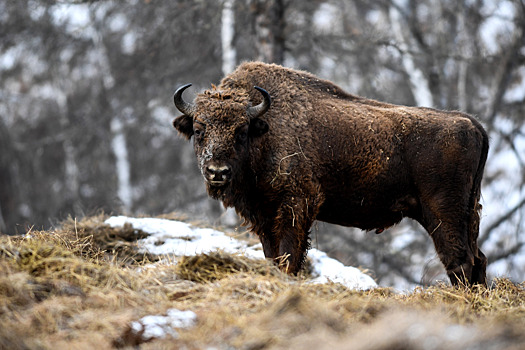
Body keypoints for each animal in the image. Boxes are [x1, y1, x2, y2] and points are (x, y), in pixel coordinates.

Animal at [172, 62, 488, 288]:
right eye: (198, 130)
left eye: (241, 132)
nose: (217, 172)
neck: (265, 130)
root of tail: (470, 123)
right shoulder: (263, 216)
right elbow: (273, 257)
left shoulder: (295, 207)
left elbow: (289, 257)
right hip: (468, 213)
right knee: (478, 259)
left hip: (442, 213)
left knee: (460, 261)